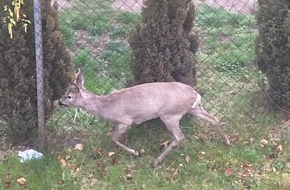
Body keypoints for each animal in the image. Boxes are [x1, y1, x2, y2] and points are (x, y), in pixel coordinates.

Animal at [59, 68, 230, 166]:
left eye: (68, 96)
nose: (59, 102)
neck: (105, 107)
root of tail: (195, 94)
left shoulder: (124, 120)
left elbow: (113, 138)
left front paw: (135, 152)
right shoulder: (123, 124)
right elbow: (121, 138)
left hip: (169, 114)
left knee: (179, 137)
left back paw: (156, 161)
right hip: (194, 109)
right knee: (214, 119)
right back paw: (226, 142)